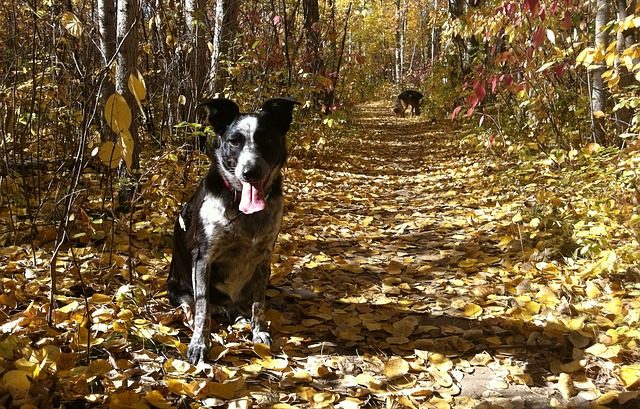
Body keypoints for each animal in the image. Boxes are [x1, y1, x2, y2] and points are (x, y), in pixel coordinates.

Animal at [167, 97, 299, 364]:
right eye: (234, 141)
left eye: (267, 138)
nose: (251, 172)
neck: (241, 208)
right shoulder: (203, 258)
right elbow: (202, 308)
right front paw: (199, 344)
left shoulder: (264, 258)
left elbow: (259, 304)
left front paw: (258, 332)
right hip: (178, 289)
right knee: (193, 307)